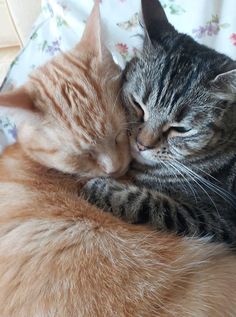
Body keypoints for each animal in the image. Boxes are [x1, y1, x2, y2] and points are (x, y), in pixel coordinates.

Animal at [83, 0, 236, 243]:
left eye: (181, 129)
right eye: (137, 104)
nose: (141, 144)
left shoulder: (222, 221)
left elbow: (151, 204)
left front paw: (102, 188)